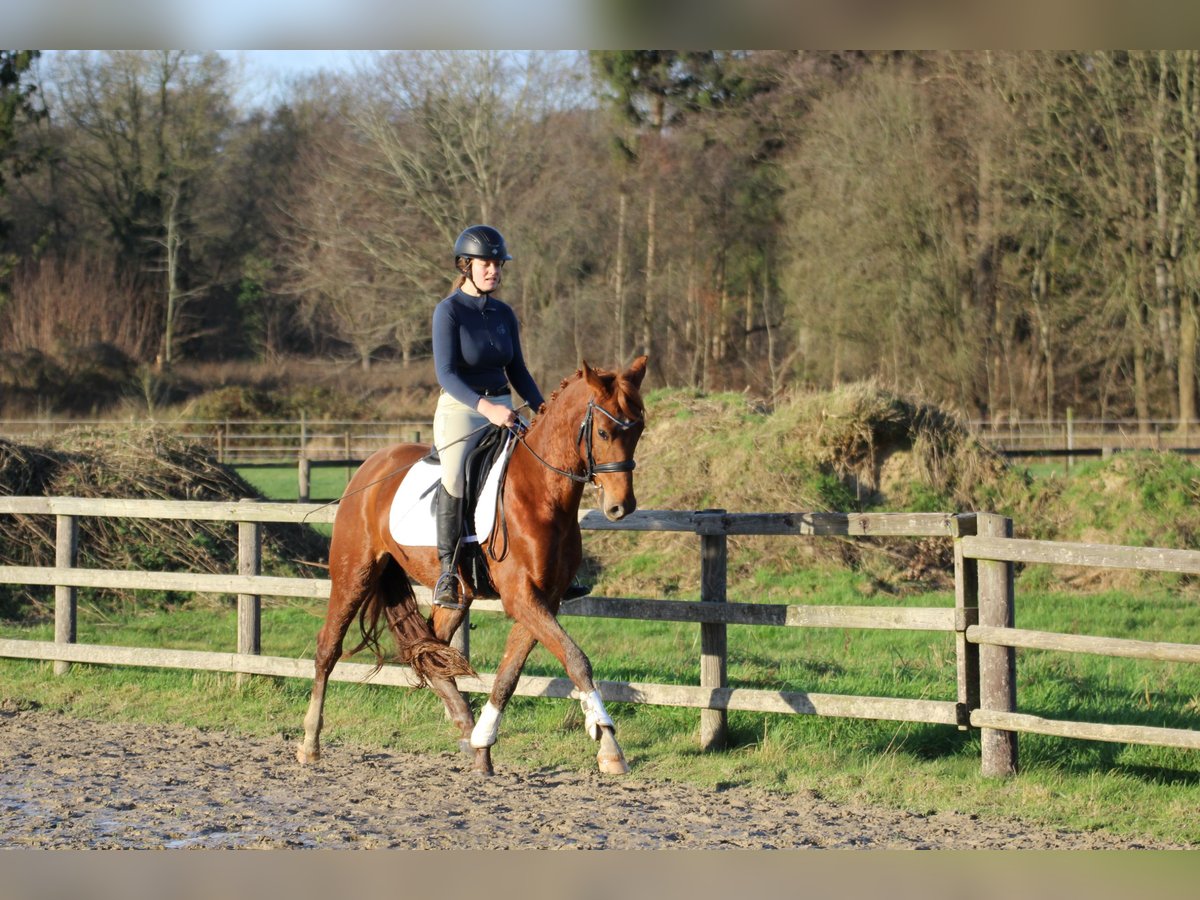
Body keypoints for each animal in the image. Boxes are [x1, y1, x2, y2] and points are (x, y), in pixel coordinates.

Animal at [296, 356, 648, 776]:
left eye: (639, 429)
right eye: (605, 431)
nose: (621, 507)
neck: (540, 492)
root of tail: (371, 465)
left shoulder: (544, 599)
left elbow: (509, 675)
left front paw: (484, 744)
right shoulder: (521, 597)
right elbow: (576, 660)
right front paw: (609, 745)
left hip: (456, 597)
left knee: (428, 651)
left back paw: (466, 728)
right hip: (354, 574)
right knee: (328, 649)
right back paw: (310, 743)